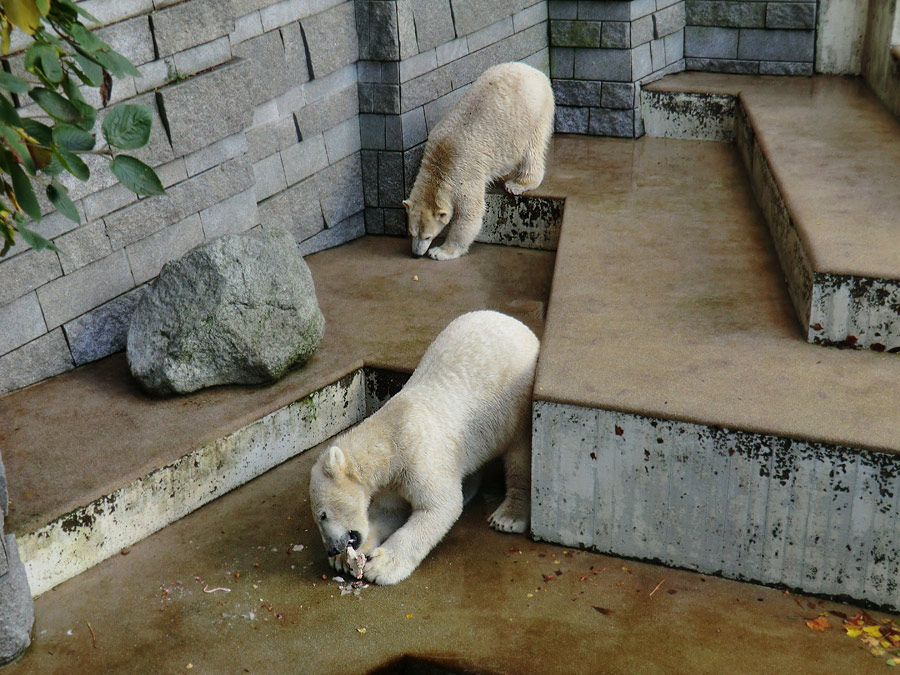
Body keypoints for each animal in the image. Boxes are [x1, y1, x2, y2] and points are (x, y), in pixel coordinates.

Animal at [310, 312, 536, 588]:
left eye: (322, 515)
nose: (332, 548)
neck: (391, 438)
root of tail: (516, 324)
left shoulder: (419, 455)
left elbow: (438, 507)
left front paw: (381, 567)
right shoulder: (392, 479)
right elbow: (386, 512)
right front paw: (346, 559)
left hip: (517, 403)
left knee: (519, 457)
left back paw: (508, 517)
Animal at [402, 62, 556, 262]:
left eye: (428, 236)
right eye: (412, 233)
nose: (416, 254)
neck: (441, 159)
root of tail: (535, 71)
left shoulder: (463, 175)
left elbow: (470, 214)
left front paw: (440, 252)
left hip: (532, 115)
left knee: (531, 151)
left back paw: (517, 184)